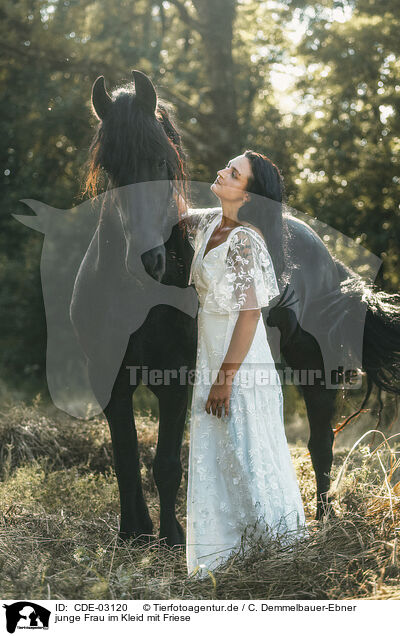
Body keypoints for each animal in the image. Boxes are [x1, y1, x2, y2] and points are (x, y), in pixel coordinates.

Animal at [70, 71, 400, 548]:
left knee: (321, 444)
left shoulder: (176, 379)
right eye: (111, 169)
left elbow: (165, 464)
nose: (148, 262)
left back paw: (324, 523)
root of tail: (325, 254)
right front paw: (133, 532)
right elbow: (126, 460)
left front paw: (172, 537)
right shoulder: (109, 380)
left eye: (161, 163)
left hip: (315, 368)